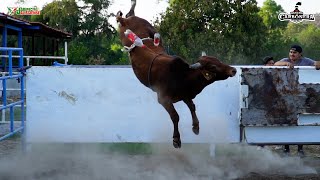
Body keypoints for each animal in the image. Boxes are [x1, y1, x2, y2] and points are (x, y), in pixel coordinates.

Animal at [116, 0, 236, 148]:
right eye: (213, 66)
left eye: (218, 60)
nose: (233, 70)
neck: (183, 76)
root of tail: (131, 20)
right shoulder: (163, 99)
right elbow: (175, 116)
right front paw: (176, 139)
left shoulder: (185, 95)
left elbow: (192, 107)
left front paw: (196, 127)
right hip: (123, 29)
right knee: (122, 19)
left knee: (129, 14)